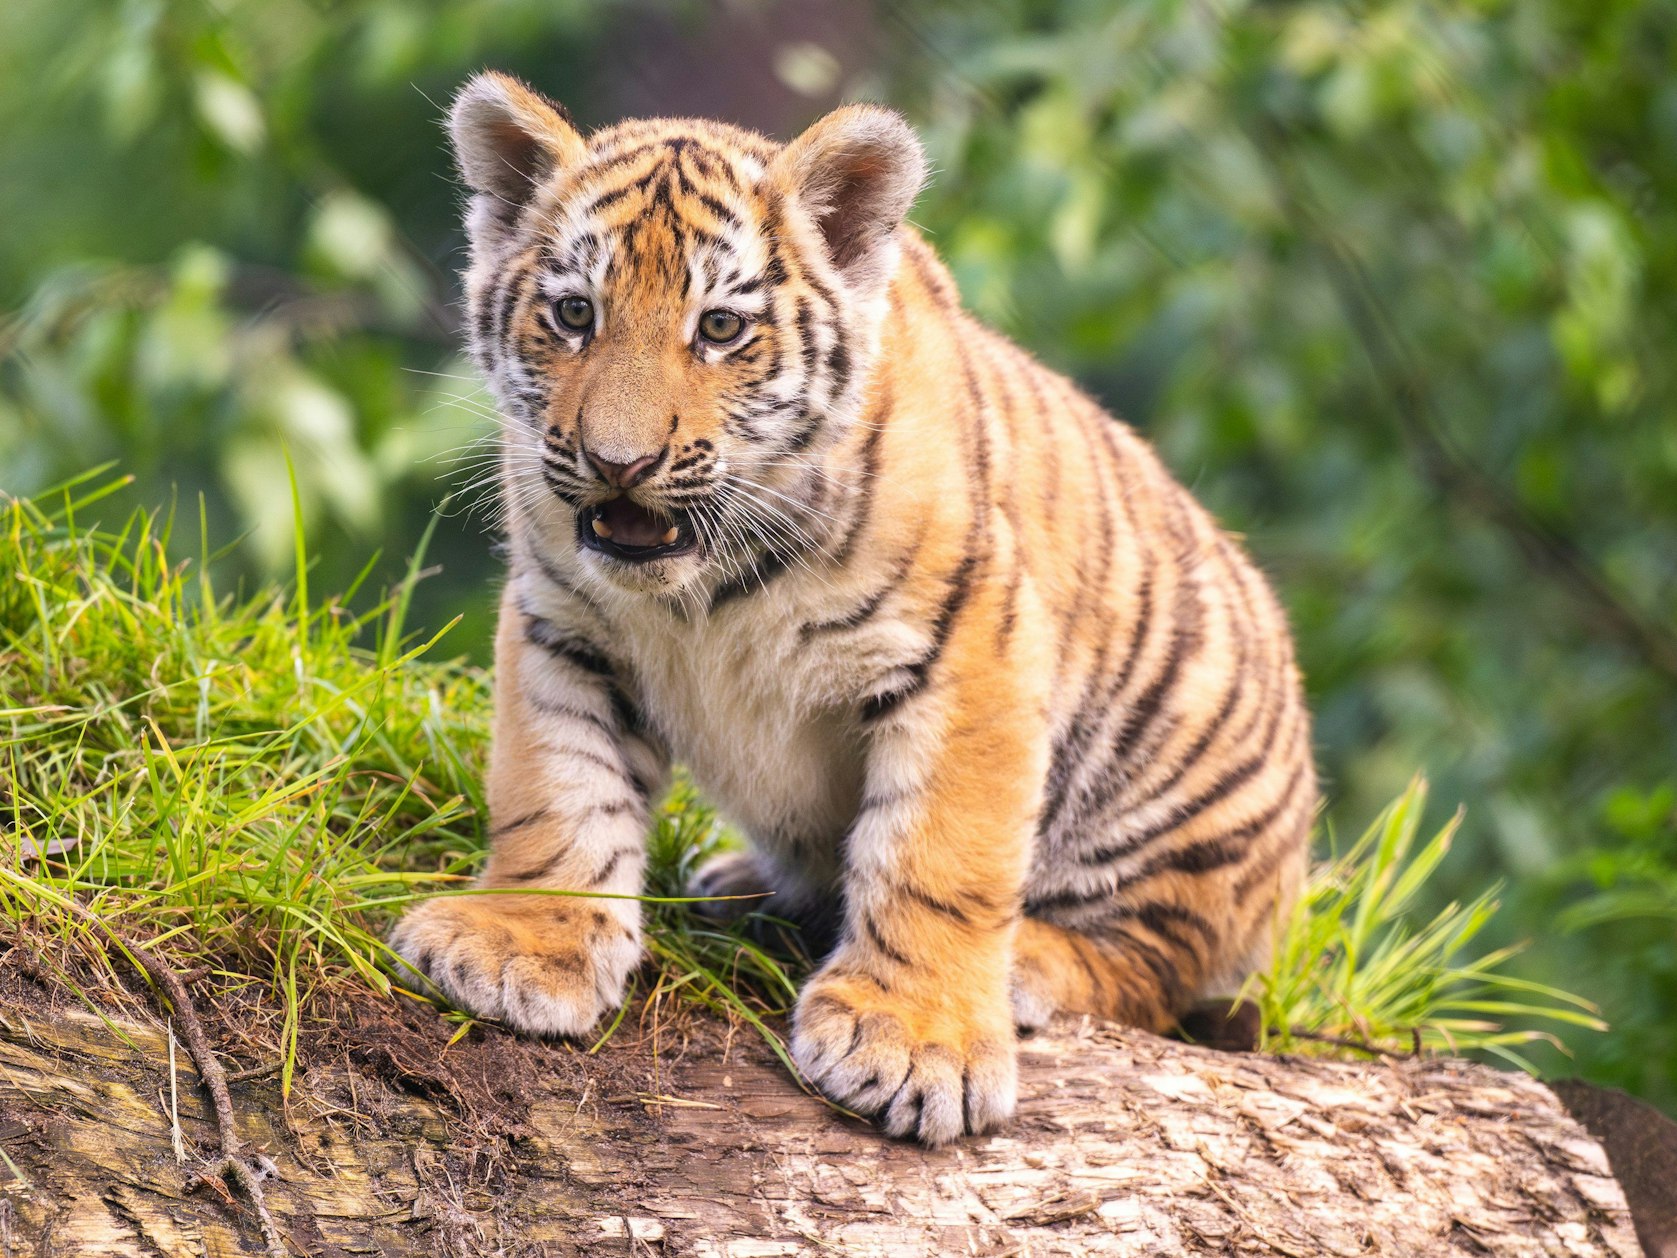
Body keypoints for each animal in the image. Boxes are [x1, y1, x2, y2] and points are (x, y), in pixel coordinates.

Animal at [392, 71, 1318, 1146]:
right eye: (575, 313)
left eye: (720, 328)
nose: (618, 461)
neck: (703, 588)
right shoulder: (563, 621)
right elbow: (556, 788)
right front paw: (521, 941)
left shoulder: (972, 650)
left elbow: (938, 854)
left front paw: (917, 1041)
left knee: (1153, 963)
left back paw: (1028, 963)